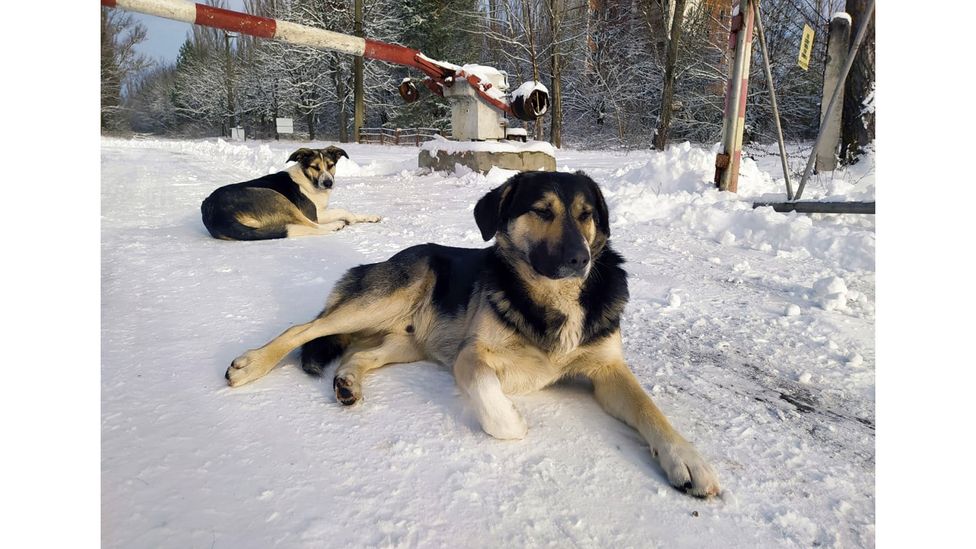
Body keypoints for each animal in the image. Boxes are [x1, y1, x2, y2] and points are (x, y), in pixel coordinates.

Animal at [200, 146, 380, 240]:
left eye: (330, 165)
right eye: (315, 167)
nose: (328, 183)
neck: (308, 178)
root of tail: (213, 213)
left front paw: (369, 217)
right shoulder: (315, 214)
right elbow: (343, 211)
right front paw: (349, 219)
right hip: (276, 198)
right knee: (311, 226)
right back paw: (335, 225)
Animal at [225, 171, 720, 496]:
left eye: (586, 215)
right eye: (542, 211)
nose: (579, 259)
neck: (554, 297)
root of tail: (388, 258)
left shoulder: (608, 370)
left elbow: (650, 410)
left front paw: (687, 458)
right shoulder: (473, 355)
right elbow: (495, 407)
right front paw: (513, 419)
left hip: (405, 340)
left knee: (359, 355)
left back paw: (348, 381)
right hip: (383, 299)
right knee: (304, 327)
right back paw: (251, 363)